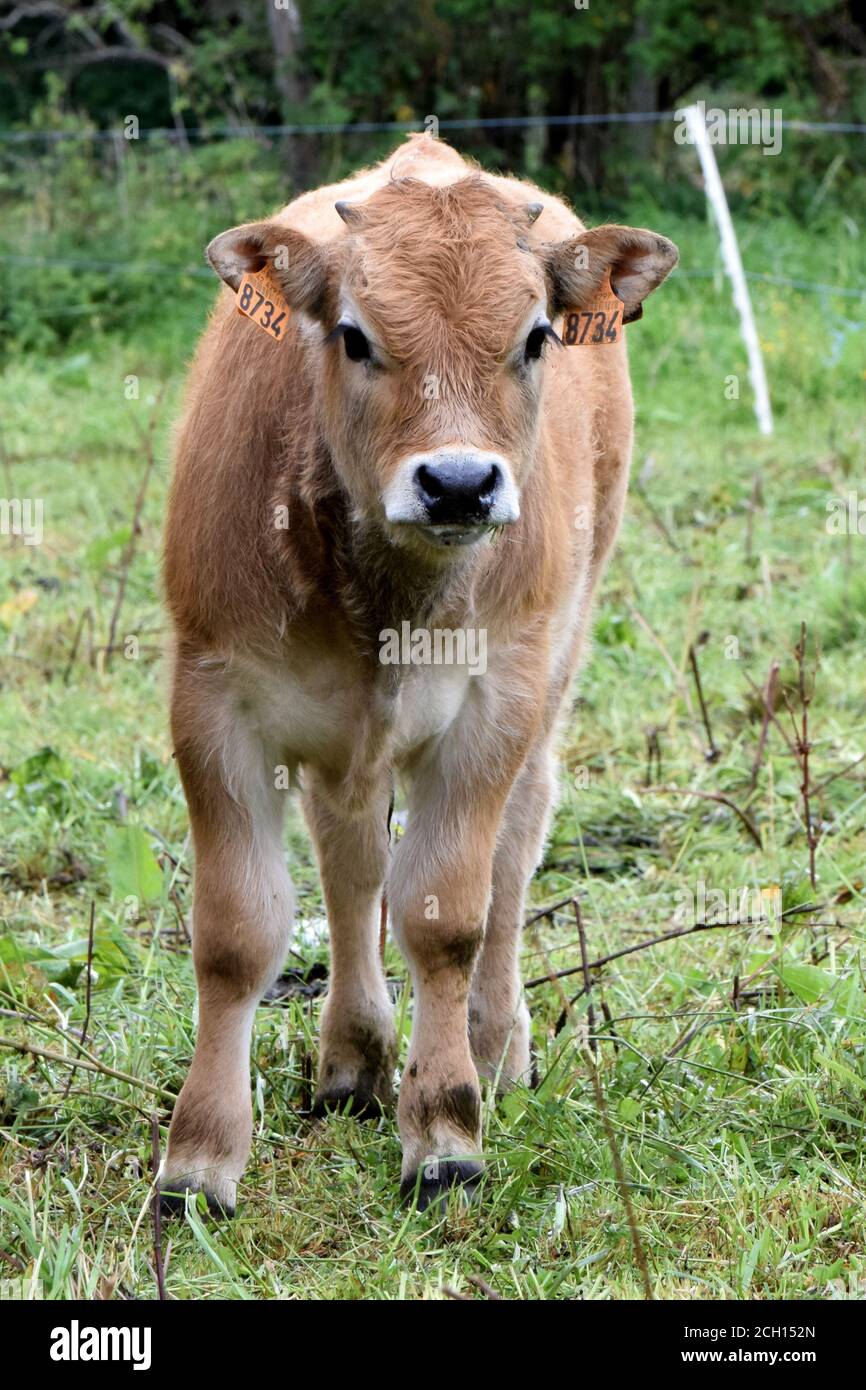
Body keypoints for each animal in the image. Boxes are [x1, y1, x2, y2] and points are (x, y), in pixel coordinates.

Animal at [161, 132, 678, 1217]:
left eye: (535, 337)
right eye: (353, 336)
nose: (457, 483)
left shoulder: (494, 703)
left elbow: (444, 913)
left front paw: (444, 1133)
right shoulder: (211, 697)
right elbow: (236, 933)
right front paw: (199, 1161)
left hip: (555, 659)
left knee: (515, 842)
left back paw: (495, 1046)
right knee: (352, 860)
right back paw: (353, 1058)